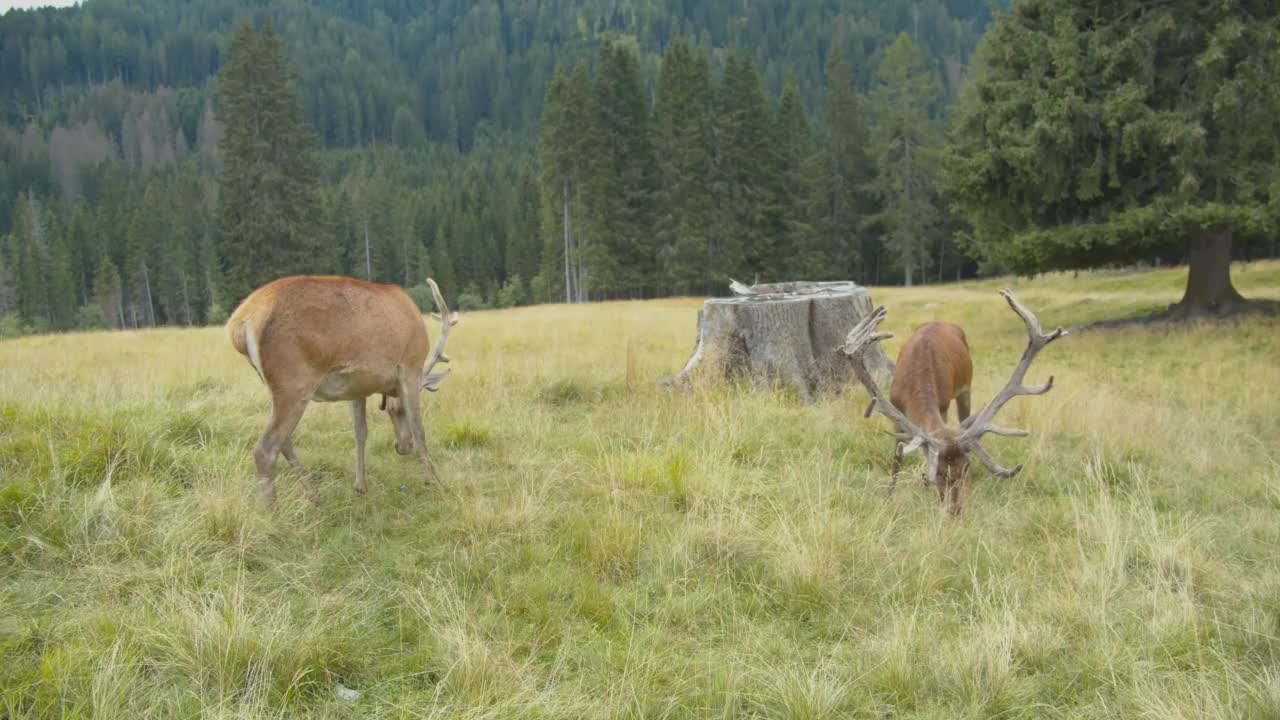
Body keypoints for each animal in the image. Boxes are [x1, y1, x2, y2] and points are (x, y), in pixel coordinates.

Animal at [227, 274, 458, 504]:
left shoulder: (357, 389)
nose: (402, 447)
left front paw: (360, 486)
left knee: (284, 442)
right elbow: (420, 430)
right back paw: (273, 509)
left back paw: (314, 494)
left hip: (272, 385)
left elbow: (360, 432)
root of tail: (239, 324)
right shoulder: (410, 366)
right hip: (293, 382)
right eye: (394, 410)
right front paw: (434, 482)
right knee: (265, 449)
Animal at [844, 288, 1064, 512]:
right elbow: (897, 456)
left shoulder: (943, 404)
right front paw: (889, 497)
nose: (955, 510)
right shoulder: (895, 408)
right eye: (938, 473)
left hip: (965, 388)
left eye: (966, 466)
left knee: (964, 416)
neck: (916, 375)